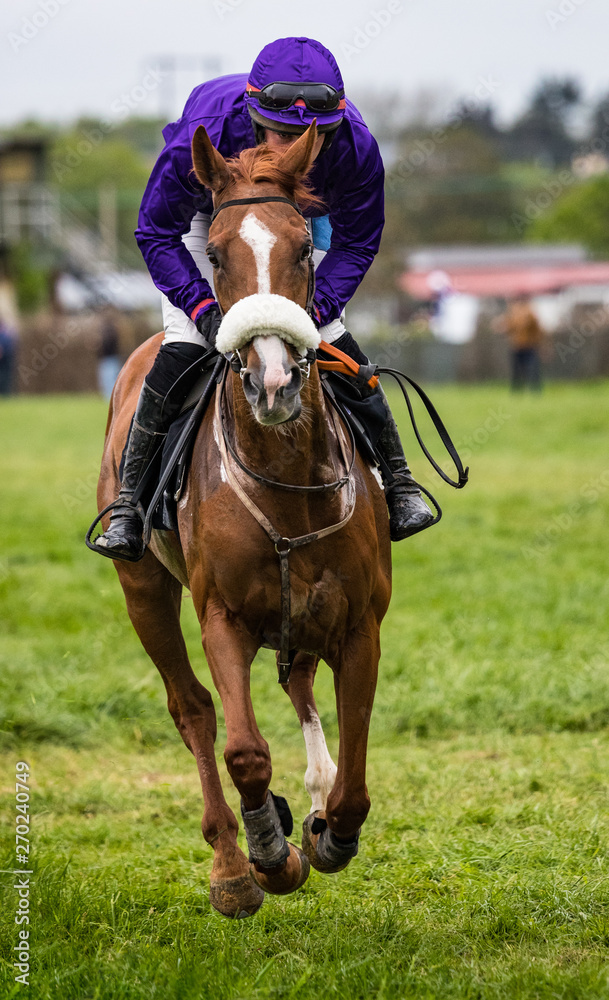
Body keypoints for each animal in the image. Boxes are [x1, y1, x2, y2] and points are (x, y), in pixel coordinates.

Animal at [95, 122, 392, 917]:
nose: (273, 381)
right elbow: (243, 751)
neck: (289, 482)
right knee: (192, 709)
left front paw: (326, 829)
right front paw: (270, 853)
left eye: (304, 250)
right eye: (221, 254)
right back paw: (231, 866)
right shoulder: (221, 615)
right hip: (143, 589)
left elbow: (355, 771)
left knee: (301, 687)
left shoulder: (358, 621)